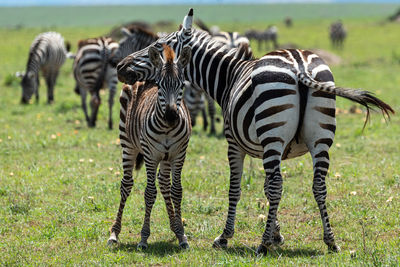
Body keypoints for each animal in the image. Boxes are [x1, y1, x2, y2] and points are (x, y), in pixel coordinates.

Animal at [108, 44, 192, 251]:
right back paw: (114, 233)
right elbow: (149, 193)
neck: (167, 128)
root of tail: (141, 78)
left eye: (182, 86)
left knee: (164, 184)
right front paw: (144, 238)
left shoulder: (179, 154)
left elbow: (176, 191)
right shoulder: (151, 155)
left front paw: (181, 235)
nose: (171, 117)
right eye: (160, 86)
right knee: (126, 184)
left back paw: (175, 227)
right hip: (128, 145)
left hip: (166, 157)